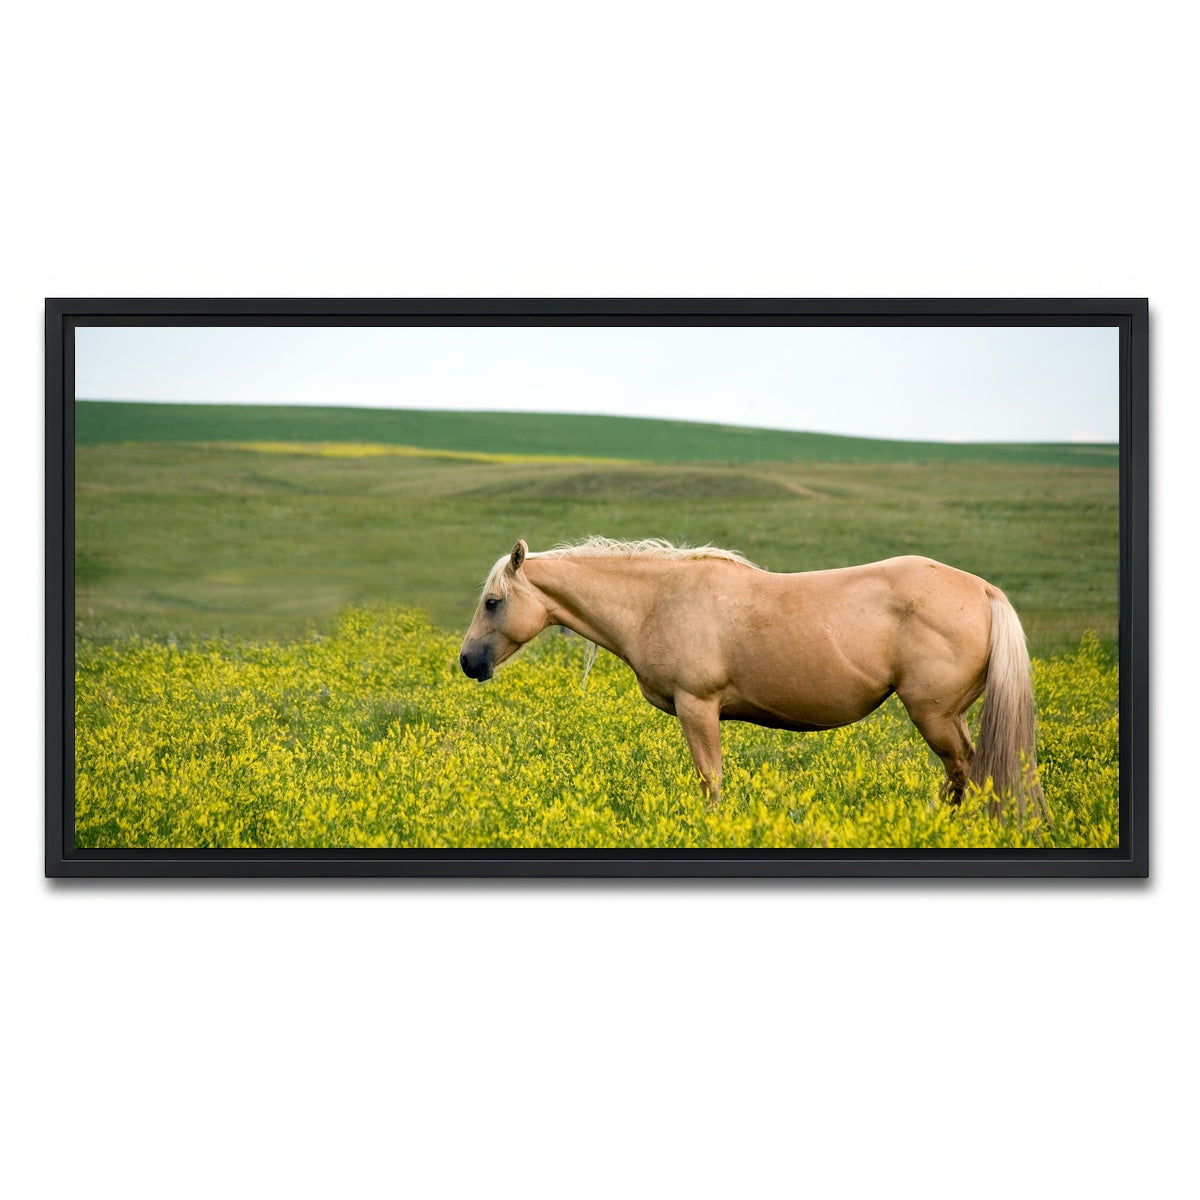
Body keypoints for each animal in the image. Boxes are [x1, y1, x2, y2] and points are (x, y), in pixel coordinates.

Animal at [459, 537, 1046, 822]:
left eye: (492, 603)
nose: (468, 662)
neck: (656, 601)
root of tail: (983, 590)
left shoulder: (698, 708)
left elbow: (710, 781)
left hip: (934, 716)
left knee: (967, 772)